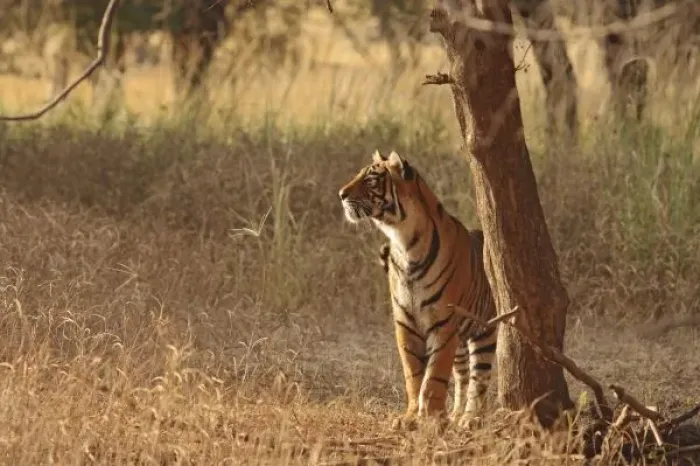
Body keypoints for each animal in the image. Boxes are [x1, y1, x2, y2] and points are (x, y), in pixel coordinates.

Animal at [338, 150, 497, 430]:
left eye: (370, 180)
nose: (341, 194)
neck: (404, 241)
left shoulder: (443, 324)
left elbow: (434, 376)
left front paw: (431, 418)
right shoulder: (406, 322)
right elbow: (413, 374)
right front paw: (412, 417)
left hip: (484, 330)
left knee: (480, 377)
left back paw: (470, 418)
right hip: (460, 339)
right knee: (462, 373)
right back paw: (454, 414)